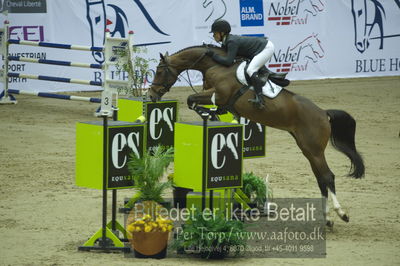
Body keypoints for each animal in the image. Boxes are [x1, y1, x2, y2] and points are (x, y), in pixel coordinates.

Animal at [148, 44, 364, 227]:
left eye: (159, 71)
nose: (151, 95)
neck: (216, 65)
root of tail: (323, 113)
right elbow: (194, 101)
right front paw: (211, 114)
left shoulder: (219, 95)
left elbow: (191, 99)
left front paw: (208, 113)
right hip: (308, 150)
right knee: (321, 179)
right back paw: (327, 219)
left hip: (314, 149)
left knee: (328, 177)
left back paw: (341, 214)